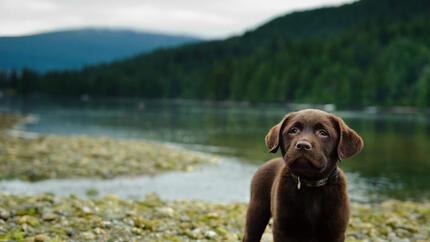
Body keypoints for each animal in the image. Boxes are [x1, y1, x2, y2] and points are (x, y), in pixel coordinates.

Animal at [244, 109, 362, 242]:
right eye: (293, 130)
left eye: (323, 133)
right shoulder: (283, 228)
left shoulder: (336, 231)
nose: (302, 145)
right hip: (257, 210)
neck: (312, 184)